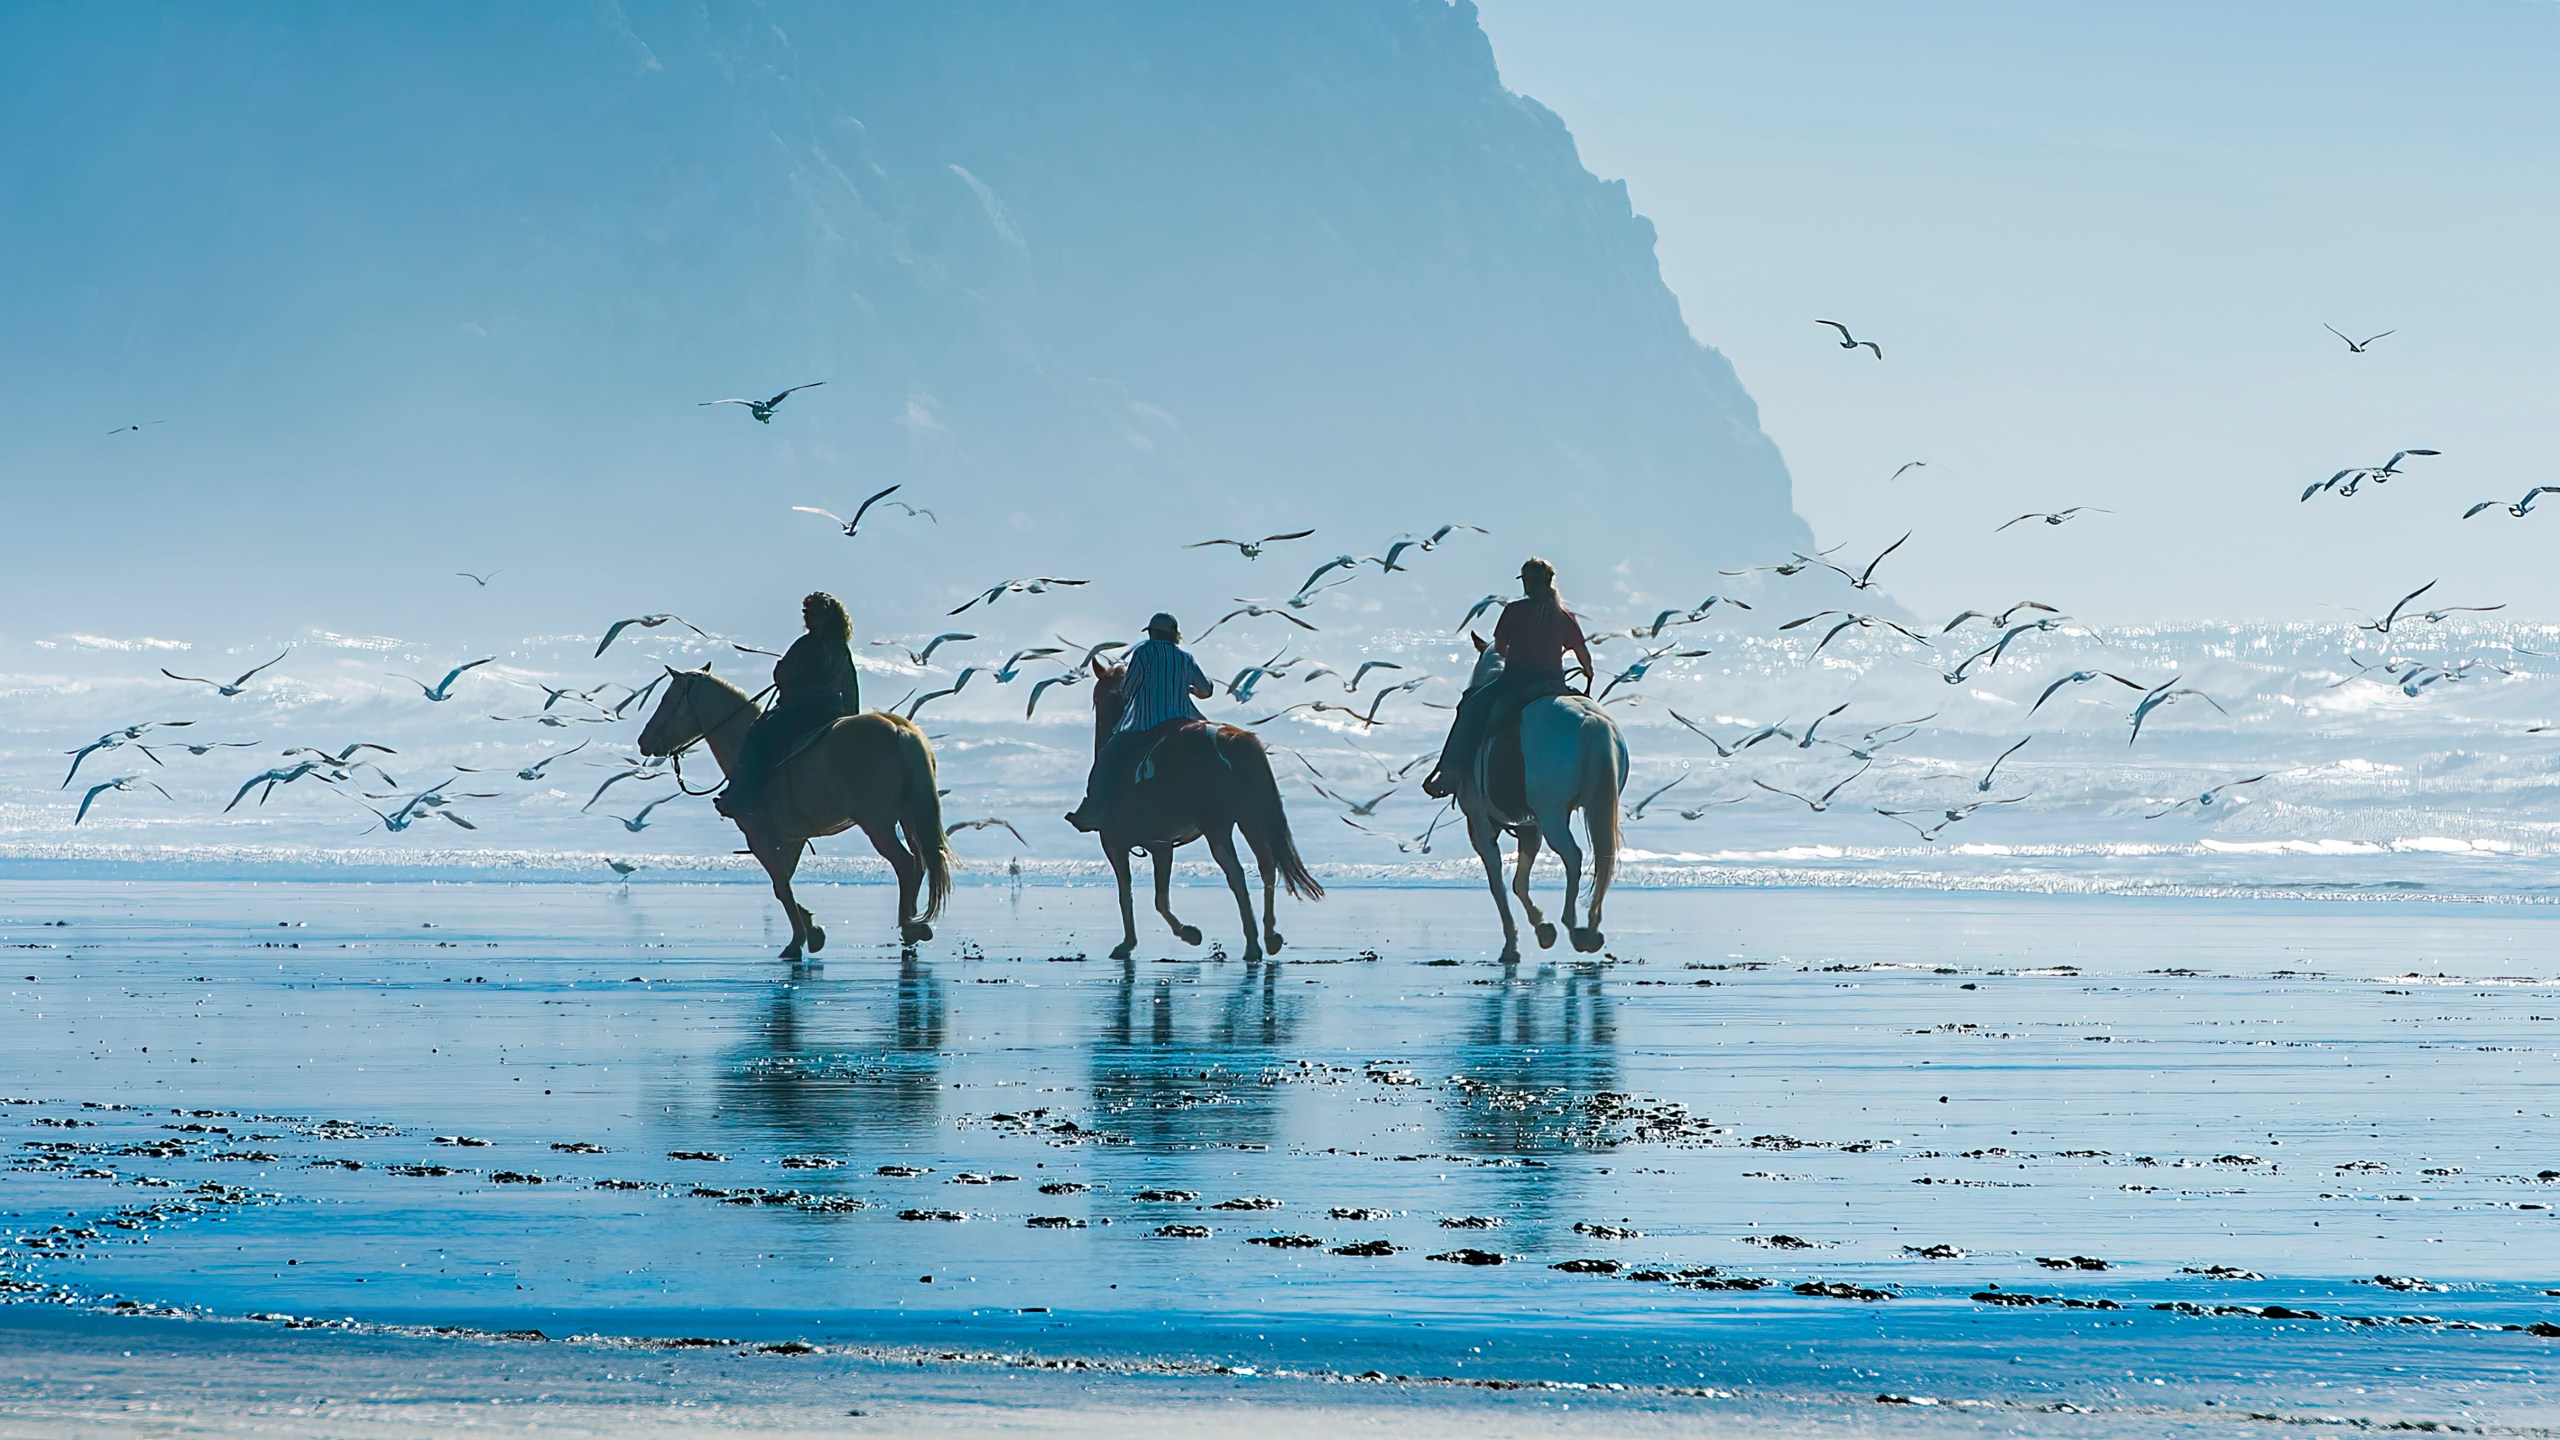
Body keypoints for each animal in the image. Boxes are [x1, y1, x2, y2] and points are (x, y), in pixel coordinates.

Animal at [634, 666, 957, 958]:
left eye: (667, 698)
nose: (643, 742)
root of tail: (899, 729)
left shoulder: (761, 836)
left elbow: (780, 885)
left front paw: (798, 941)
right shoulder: (794, 837)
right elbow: (784, 883)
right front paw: (812, 931)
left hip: (877, 823)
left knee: (906, 863)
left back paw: (909, 928)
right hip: (908, 816)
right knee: (921, 863)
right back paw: (914, 924)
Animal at [1080, 655, 1320, 958]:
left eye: (1097, 698)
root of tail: (1232, 741)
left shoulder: (1114, 842)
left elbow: (1129, 892)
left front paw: (1133, 942)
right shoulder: (1161, 845)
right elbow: (1159, 897)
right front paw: (1186, 933)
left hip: (1216, 825)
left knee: (1236, 873)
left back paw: (1253, 943)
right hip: (1249, 818)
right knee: (1266, 865)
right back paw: (1269, 936)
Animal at [1454, 635, 1628, 953]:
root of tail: (1591, 721)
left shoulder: (1480, 825)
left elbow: (1497, 882)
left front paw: (1512, 942)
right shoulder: (1528, 826)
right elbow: (1519, 882)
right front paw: (1542, 930)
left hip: (1552, 815)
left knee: (1573, 855)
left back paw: (1573, 926)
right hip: (1587, 809)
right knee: (1604, 858)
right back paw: (1591, 928)